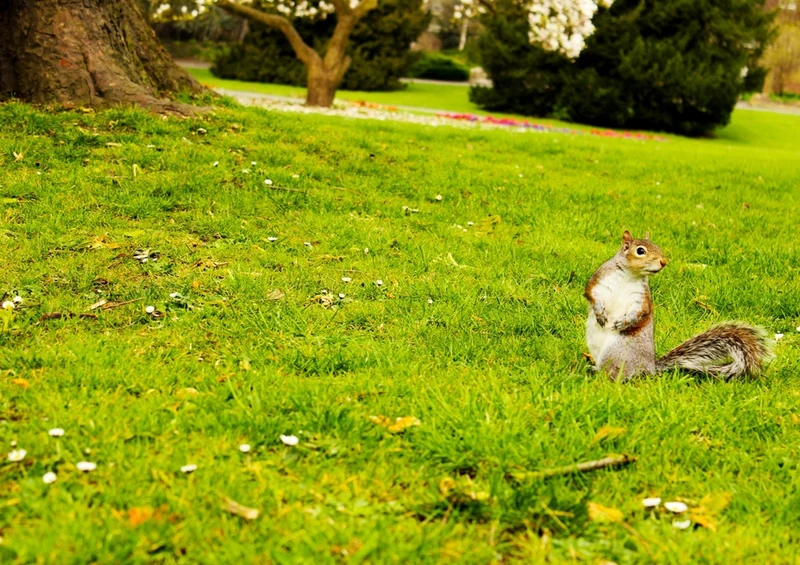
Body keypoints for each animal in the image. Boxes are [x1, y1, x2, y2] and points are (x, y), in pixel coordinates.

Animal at [584, 230, 773, 381]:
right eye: (640, 251)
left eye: (658, 246)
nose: (663, 261)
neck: (630, 275)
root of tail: (651, 367)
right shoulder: (598, 281)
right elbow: (591, 295)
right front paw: (600, 313)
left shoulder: (641, 298)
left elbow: (640, 312)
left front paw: (622, 322)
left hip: (617, 352)